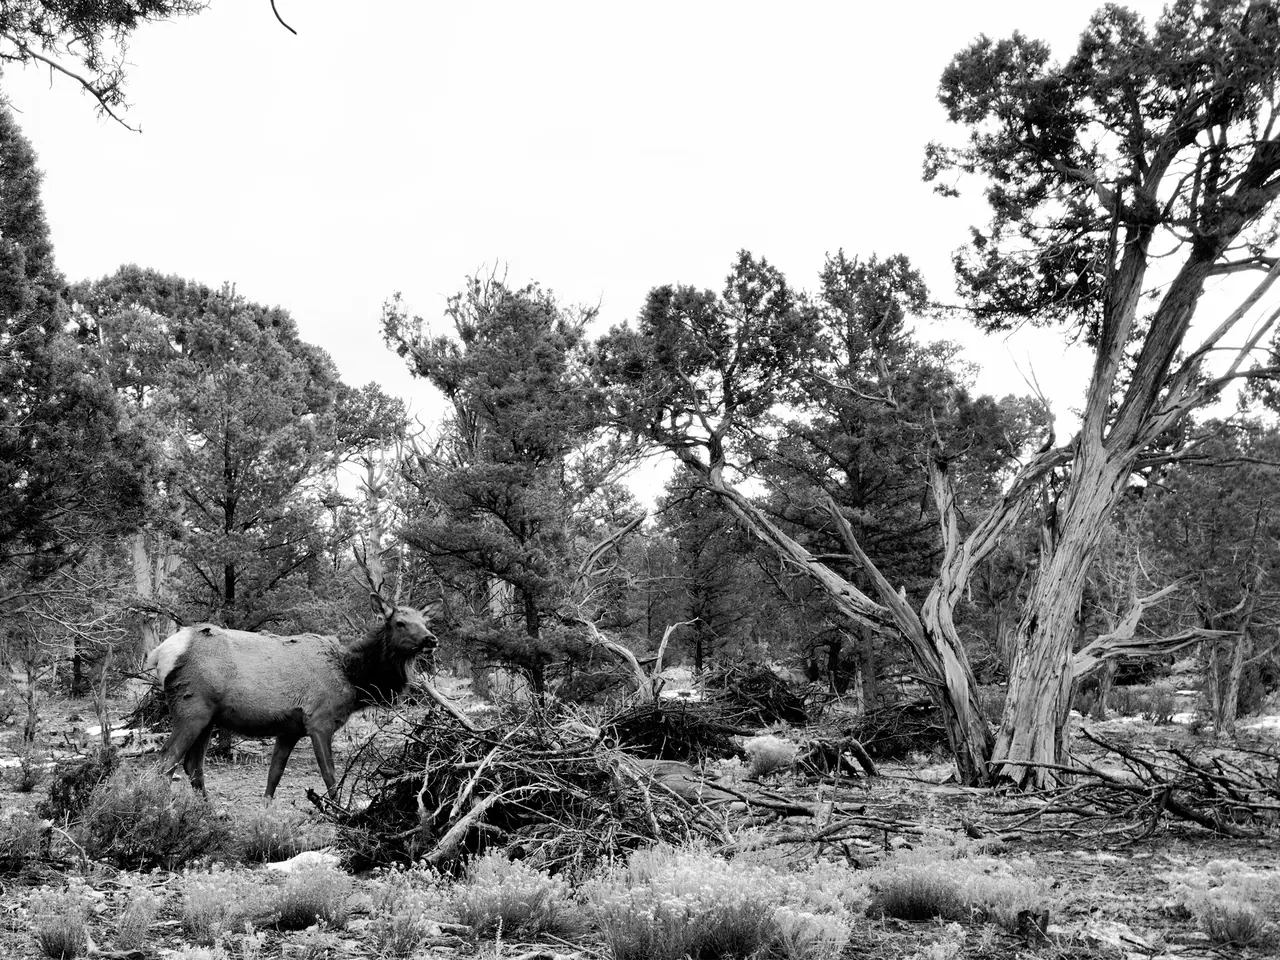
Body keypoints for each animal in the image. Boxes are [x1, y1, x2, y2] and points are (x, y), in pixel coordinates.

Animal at [145, 594, 439, 799]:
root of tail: (160, 653)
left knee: (192, 766)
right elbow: (330, 776)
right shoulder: (319, 721)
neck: (352, 678)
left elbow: (274, 777)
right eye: (400, 623)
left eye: (425, 622)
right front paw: (340, 816)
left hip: (208, 718)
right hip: (191, 709)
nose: (431, 639)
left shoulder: (289, 729)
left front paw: (265, 816)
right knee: (166, 761)